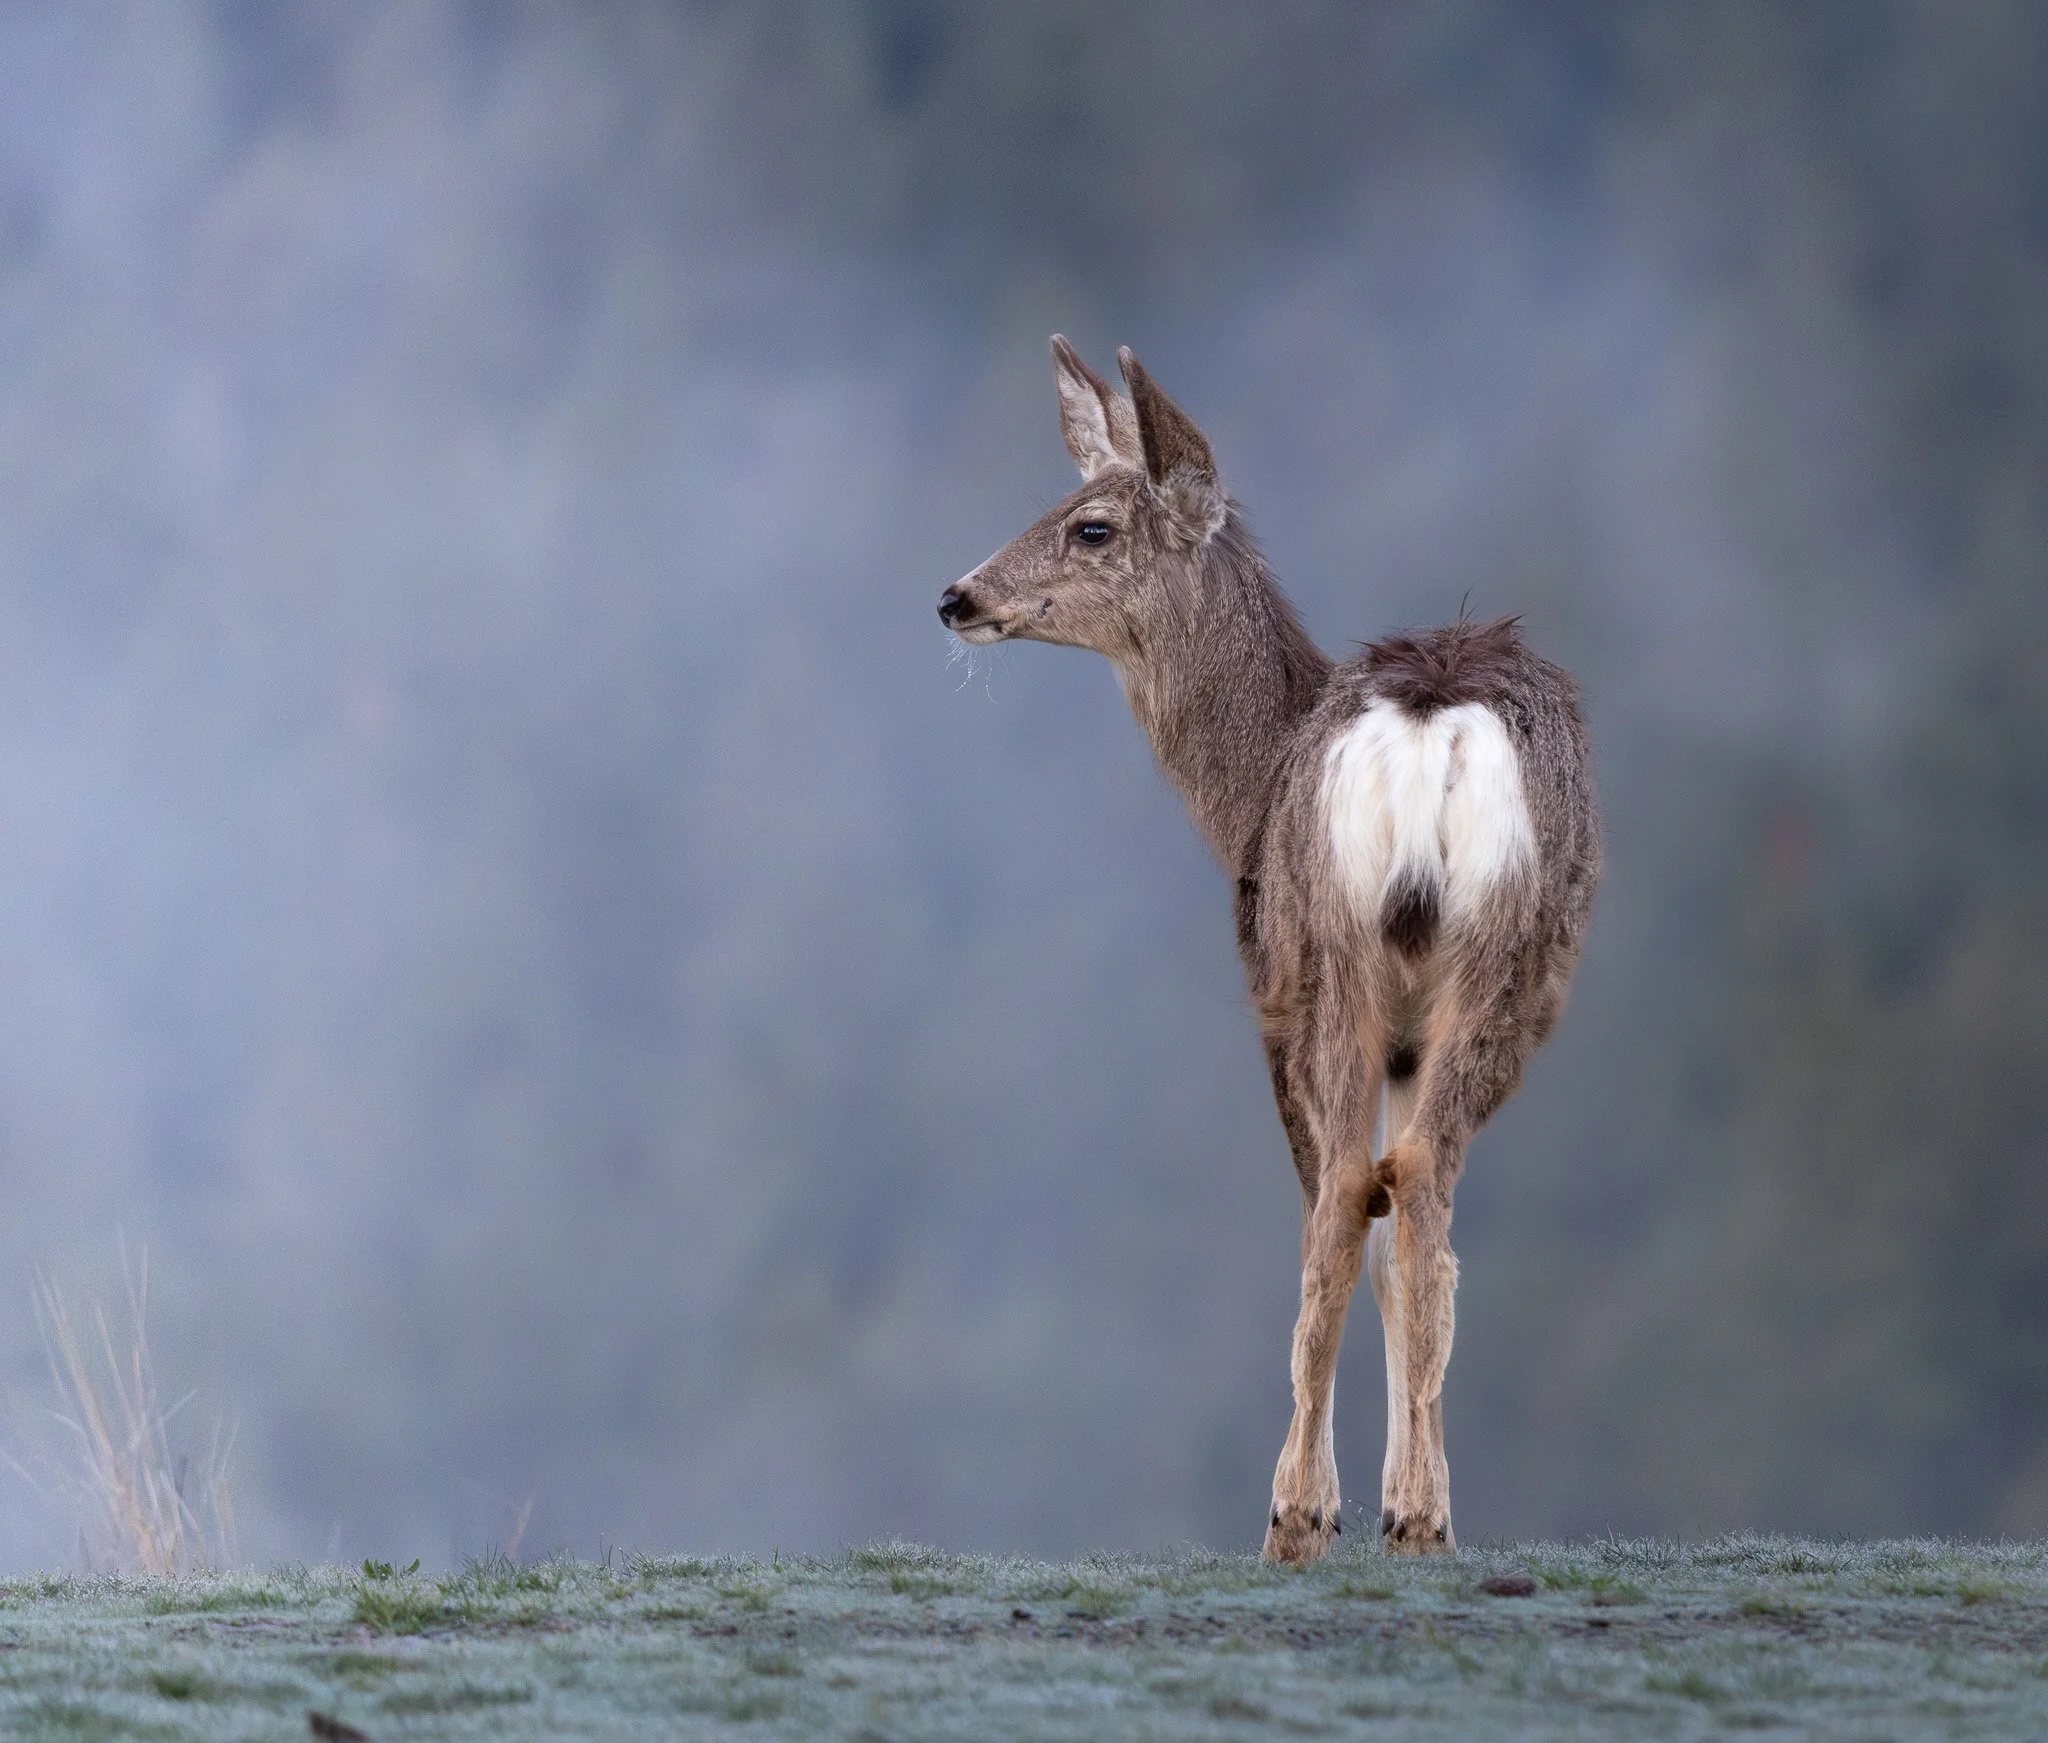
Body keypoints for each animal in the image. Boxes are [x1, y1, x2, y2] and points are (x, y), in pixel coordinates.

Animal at [937, 339, 1600, 1562]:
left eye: (1090, 525)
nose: (957, 595)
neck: (1246, 789)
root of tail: (1428, 721)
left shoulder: (1285, 989)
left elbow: (1364, 1236)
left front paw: (1354, 1498)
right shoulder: (1392, 1028)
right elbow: (1400, 1248)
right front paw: (1389, 1496)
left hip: (1340, 961)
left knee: (1359, 1190)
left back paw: (1312, 1514)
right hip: (1455, 959)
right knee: (1402, 1183)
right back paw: (1382, 1516)